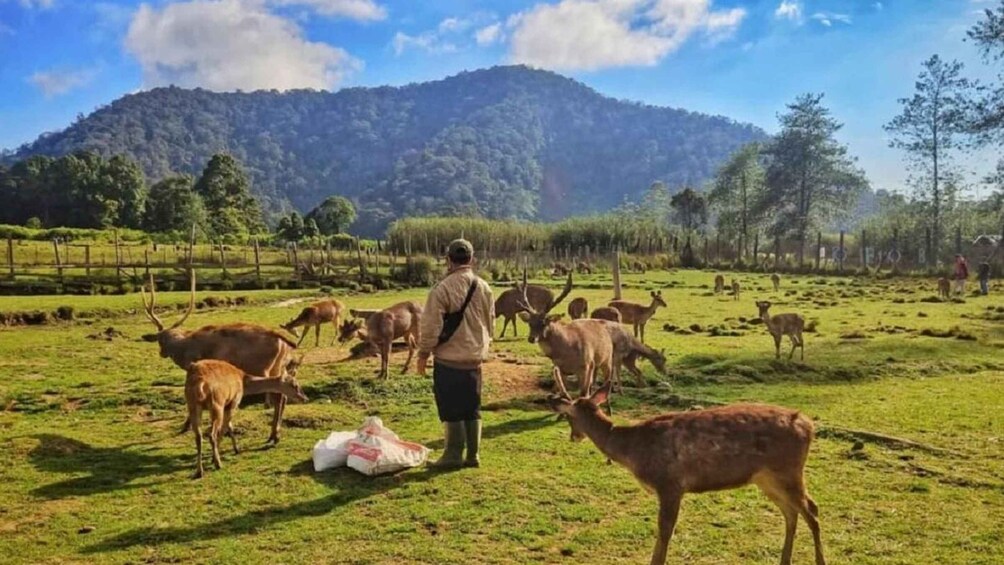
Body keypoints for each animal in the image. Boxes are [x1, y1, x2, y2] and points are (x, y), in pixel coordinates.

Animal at [140, 270, 297, 447]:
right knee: (283, 395)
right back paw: (274, 435)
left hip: (263, 369)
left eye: (160, 340)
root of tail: (283, 339)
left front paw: (186, 426)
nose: (162, 353)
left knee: (278, 396)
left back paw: (274, 436)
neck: (185, 350)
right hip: (278, 367)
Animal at [550, 379, 823, 565]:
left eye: (569, 417)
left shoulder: (670, 483)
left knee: (811, 509)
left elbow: (665, 530)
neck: (632, 451)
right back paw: (784, 560)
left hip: (787, 470)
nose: (574, 436)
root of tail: (809, 426)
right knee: (792, 512)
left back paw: (819, 560)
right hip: (767, 478)